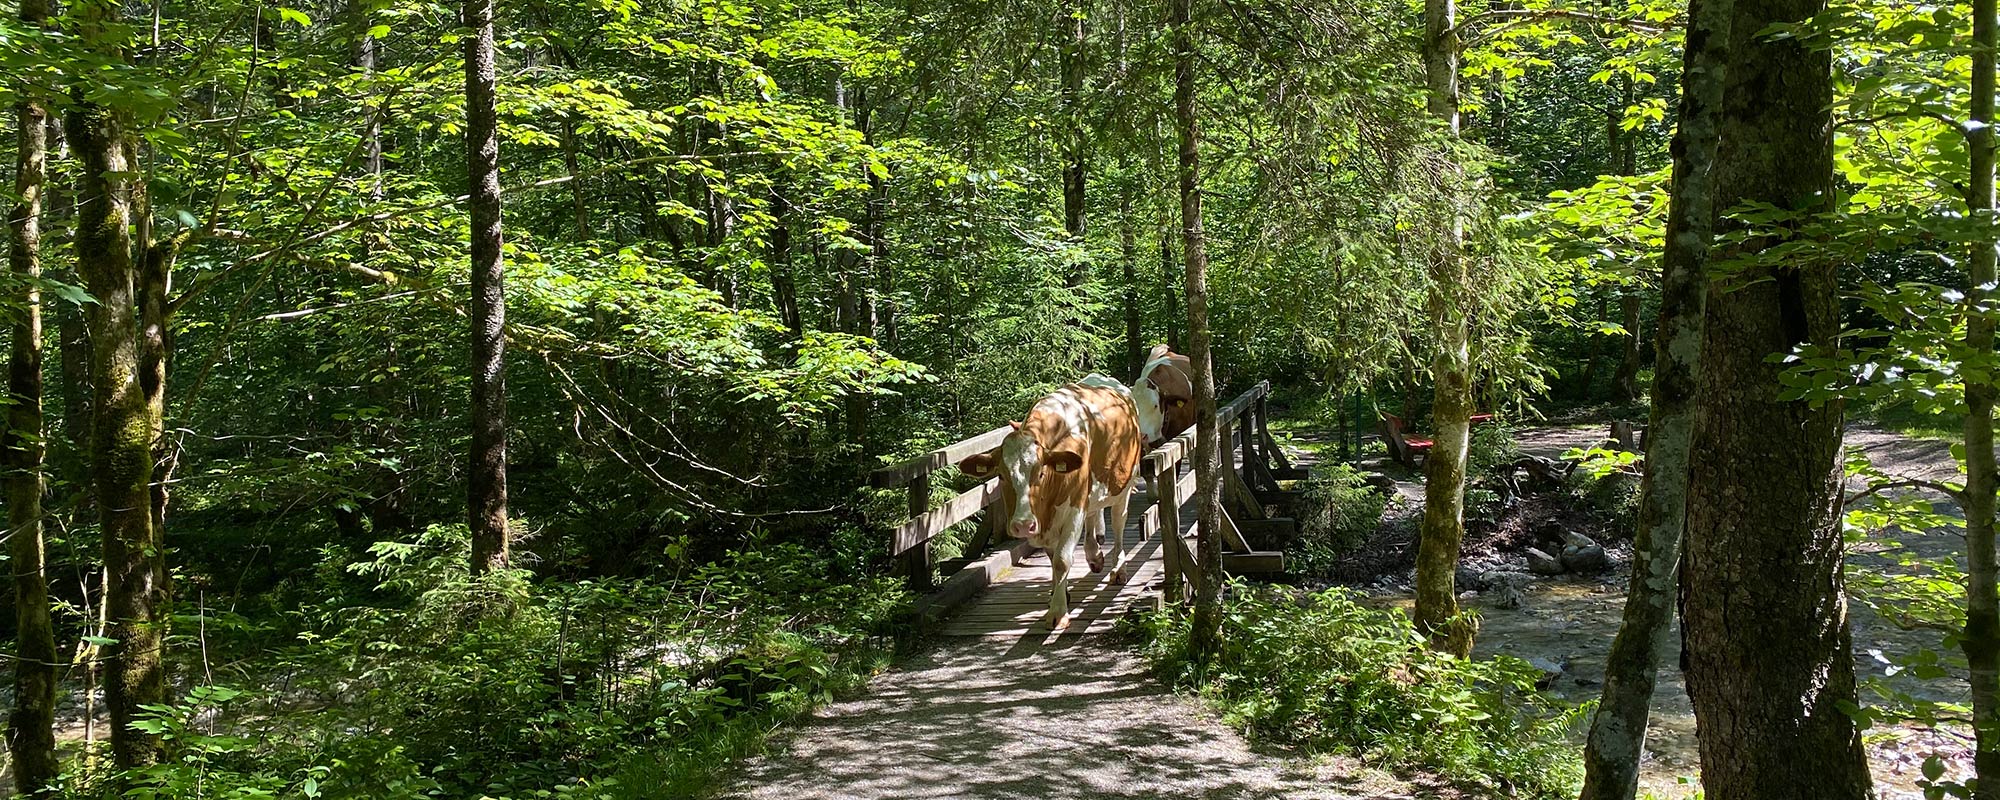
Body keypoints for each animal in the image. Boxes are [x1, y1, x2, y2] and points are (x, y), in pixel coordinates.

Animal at [952, 372, 1144, 628]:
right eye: (1001, 475)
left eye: (1041, 473)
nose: (1023, 525)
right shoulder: (1046, 521)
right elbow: (1052, 557)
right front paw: (1058, 592)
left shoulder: (1074, 509)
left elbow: (1062, 559)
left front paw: (1058, 612)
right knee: (1094, 513)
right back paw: (1094, 555)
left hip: (1124, 484)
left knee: (1119, 523)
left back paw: (1118, 570)